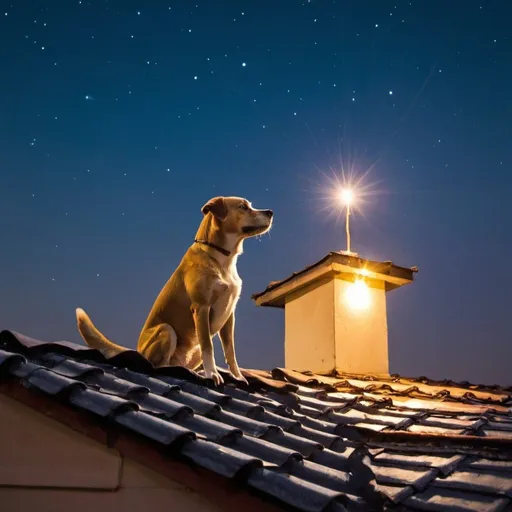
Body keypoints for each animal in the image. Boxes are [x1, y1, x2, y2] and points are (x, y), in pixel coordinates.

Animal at [74, 195, 274, 384]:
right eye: (243, 207)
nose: (270, 212)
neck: (222, 259)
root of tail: (137, 351)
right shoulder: (201, 307)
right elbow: (208, 347)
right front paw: (212, 374)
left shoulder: (229, 314)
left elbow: (230, 351)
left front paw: (237, 376)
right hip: (167, 330)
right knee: (159, 365)